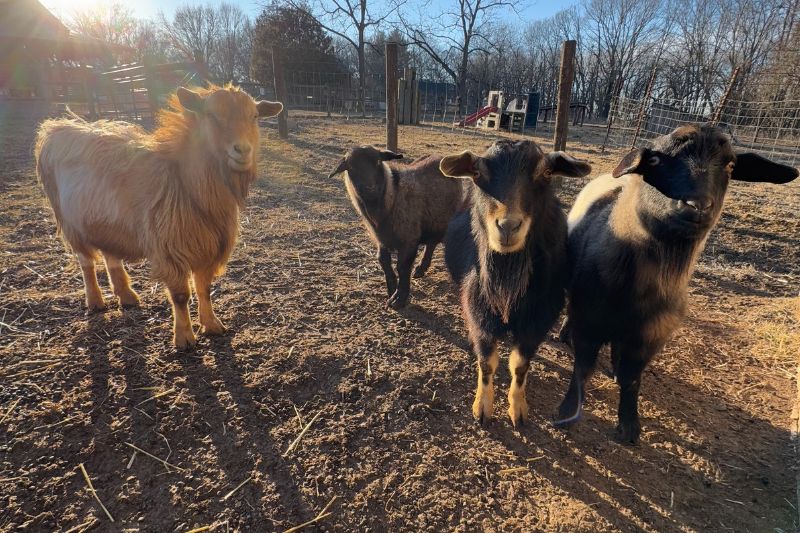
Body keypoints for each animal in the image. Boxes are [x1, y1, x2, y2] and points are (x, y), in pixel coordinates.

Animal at [35, 85, 283, 348]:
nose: (242, 150)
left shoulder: (208, 246)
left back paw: (127, 296)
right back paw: (95, 301)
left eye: (254, 116)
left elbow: (204, 288)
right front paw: (184, 338)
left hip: (106, 223)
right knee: (86, 263)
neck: (183, 181)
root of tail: (57, 127)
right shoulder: (169, 248)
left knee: (111, 256)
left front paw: (212, 325)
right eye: (211, 115)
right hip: (71, 224)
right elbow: (181, 295)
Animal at [329, 146, 468, 308]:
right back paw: (421, 269)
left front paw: (399, 298)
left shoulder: (409, 238)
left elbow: (402, 267)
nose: (370, 188)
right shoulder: (381, 239)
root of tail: (439, 156)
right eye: (351, 167)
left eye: (378, 161)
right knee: (431, 243)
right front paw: (392, 290)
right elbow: (383, 262)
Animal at [441, 139, 591, 427]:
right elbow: (487, 362)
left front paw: (518, 409)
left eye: (546, 173)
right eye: (477, 173)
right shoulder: (478, 309)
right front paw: (482, 407)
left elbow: (520, 364)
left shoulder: (539, 317)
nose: (508, 226)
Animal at [555, 124, 799, 443]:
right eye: (655, 160)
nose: (698, 206)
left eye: (731, 165)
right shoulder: (589, 319)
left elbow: (632, 379)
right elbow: (582, 370)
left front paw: (629, 426)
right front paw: (568, 411)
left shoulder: (653, 334)